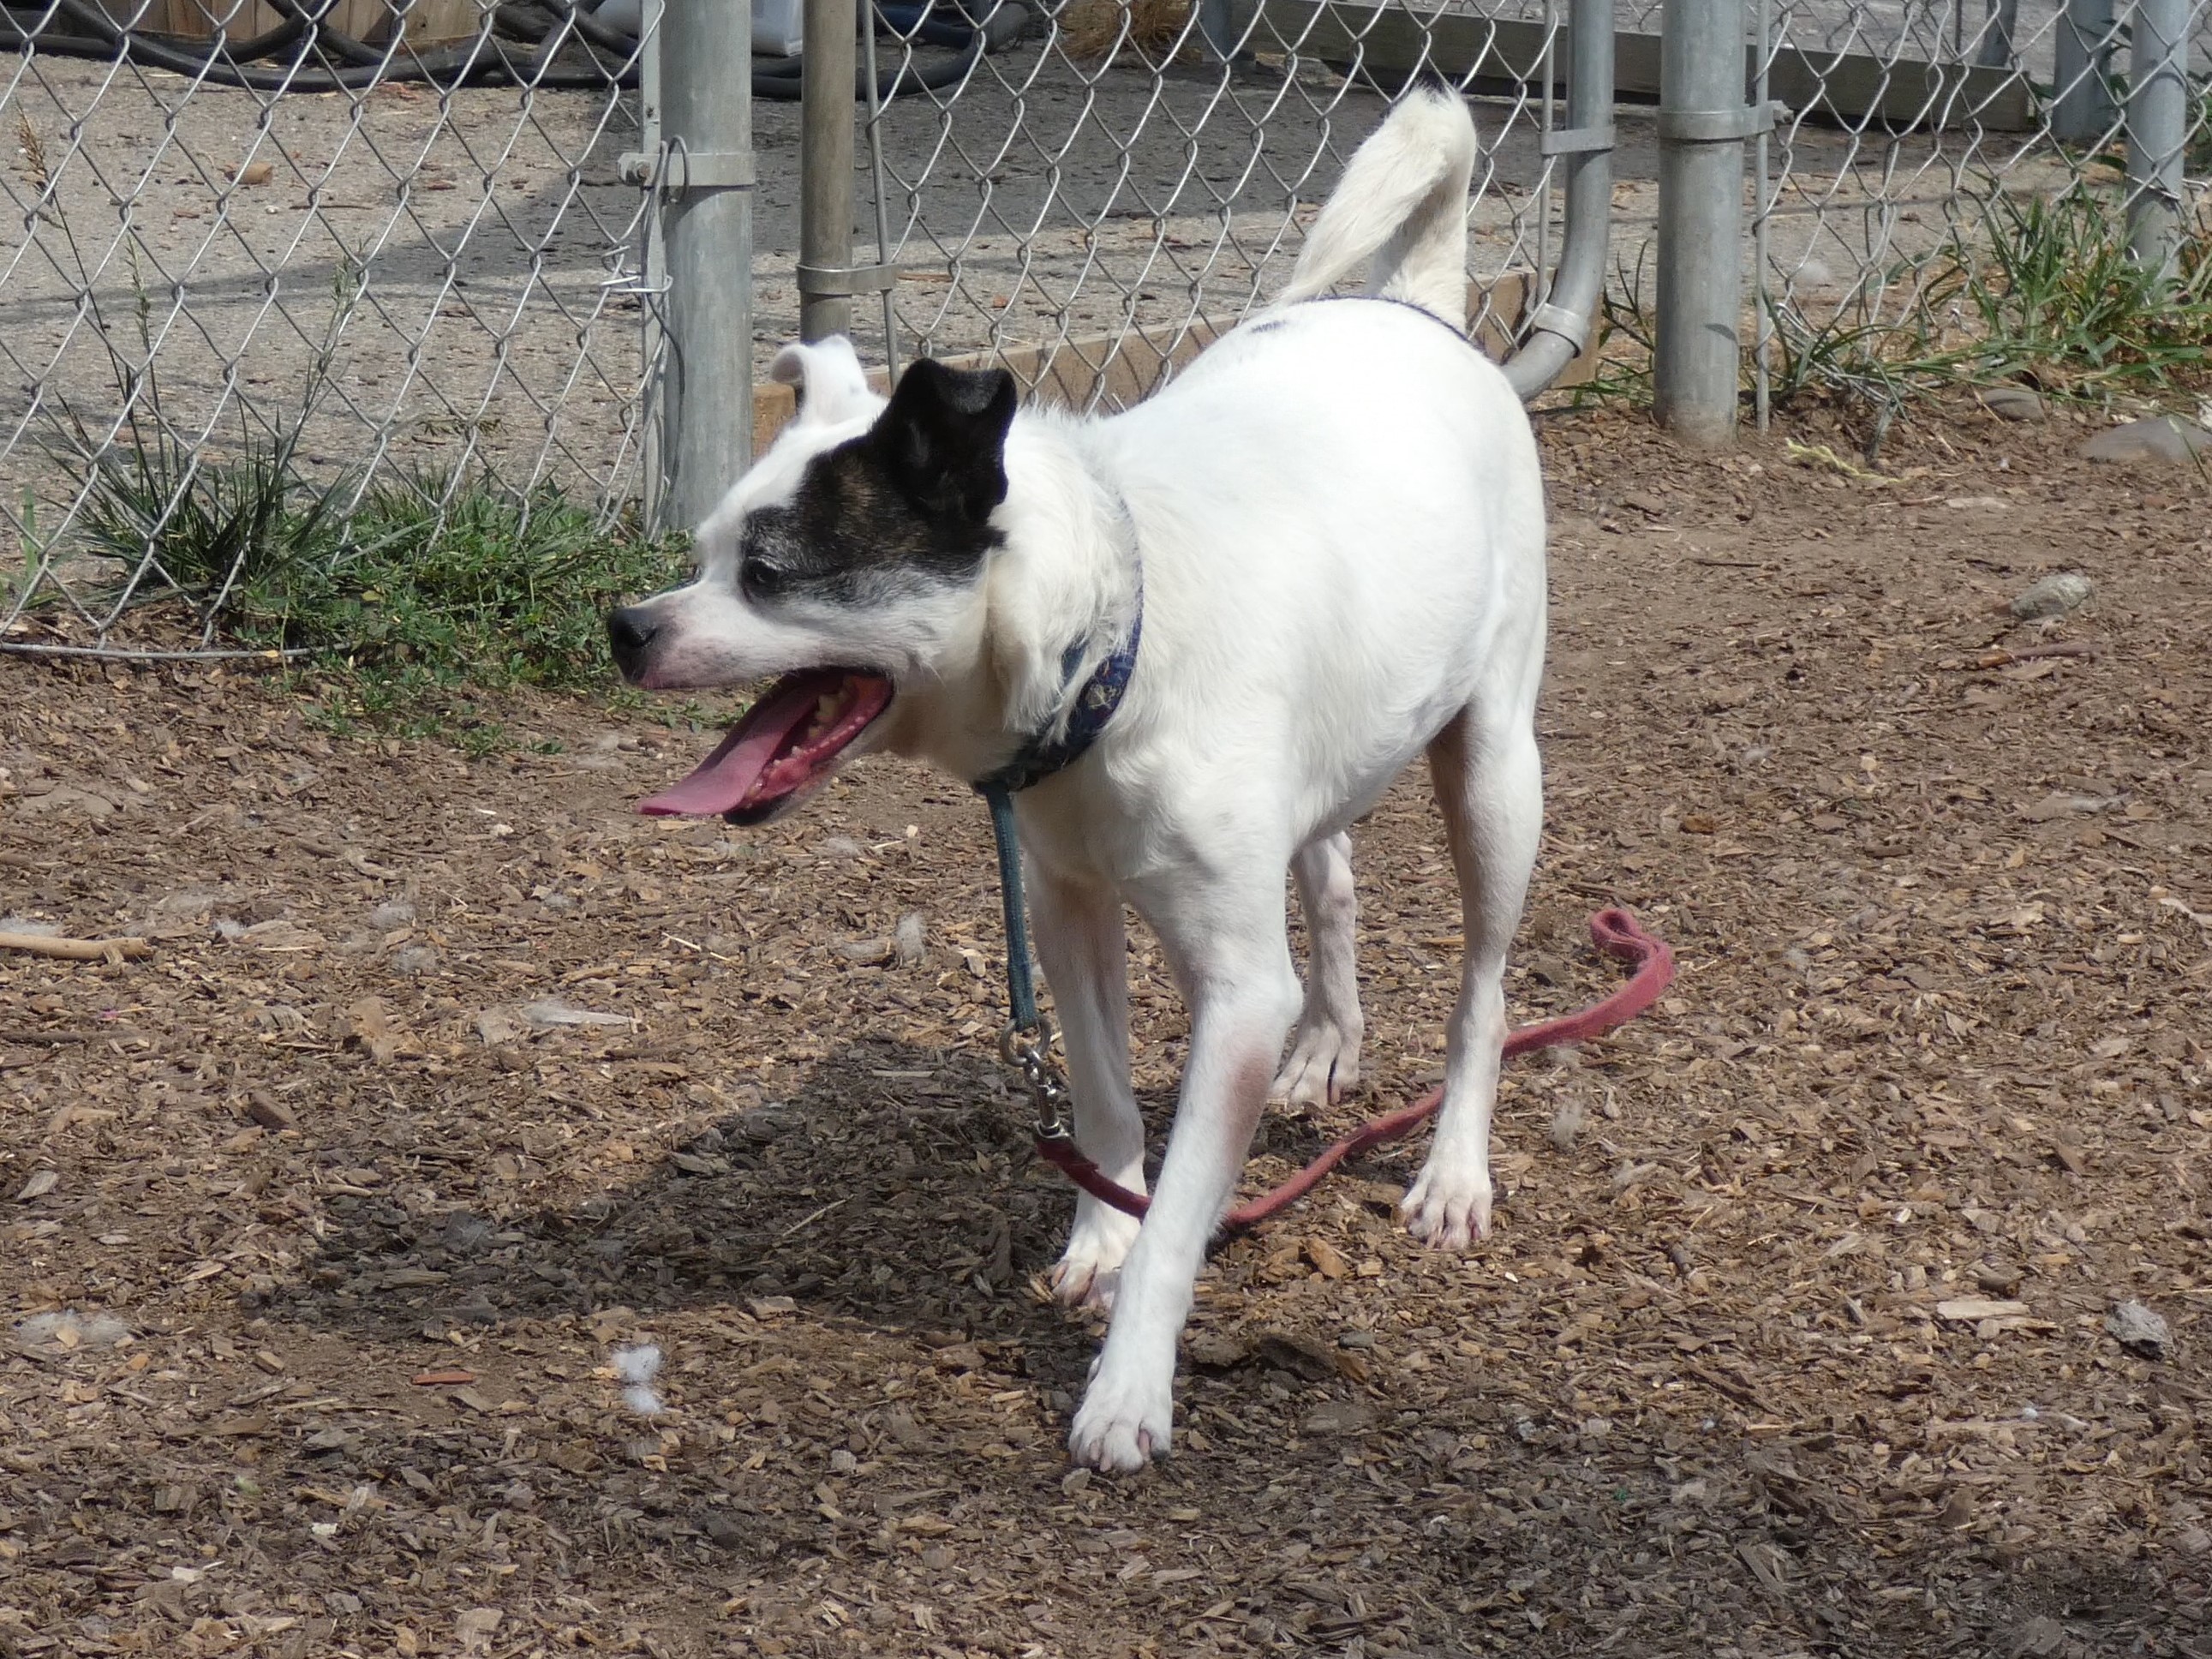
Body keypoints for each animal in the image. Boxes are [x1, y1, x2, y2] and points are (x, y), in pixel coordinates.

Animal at [601, 84, 1539, 1477]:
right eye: (703, 553)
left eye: (770, 573)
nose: (626, 626)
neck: (1111, 647)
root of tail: (1413, 306)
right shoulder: (1065, 913)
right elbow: (1099, 1108)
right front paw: (1100, 1233)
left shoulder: (1234, 996)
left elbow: (1186, 1213)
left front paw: (1127, 1382)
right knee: (1330, 872)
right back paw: (1329, 1044)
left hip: (1492, 775)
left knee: (1480, 987)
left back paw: (1451, 1172)